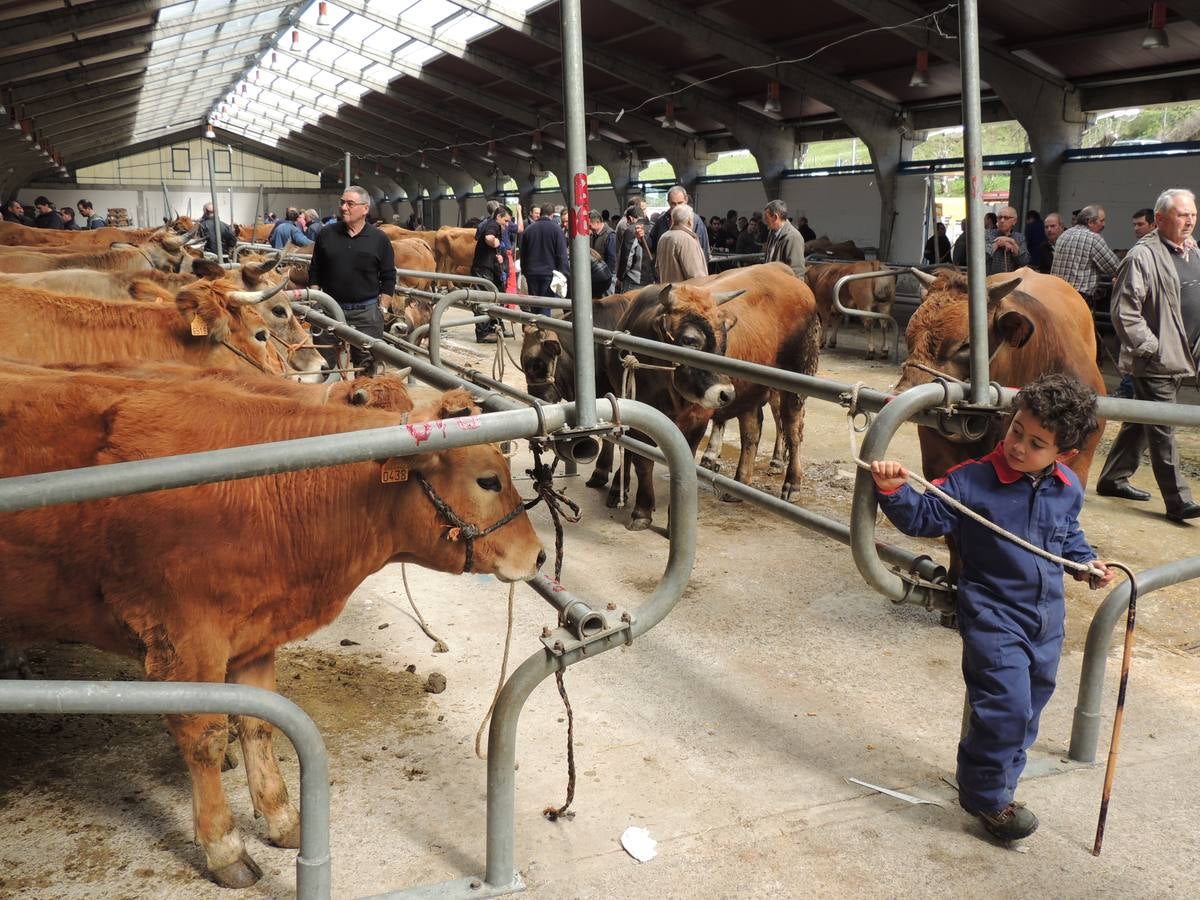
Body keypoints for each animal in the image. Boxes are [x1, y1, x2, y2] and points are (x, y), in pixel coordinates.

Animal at [0, 372, 540, 888]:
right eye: (488, 481)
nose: (537, 556)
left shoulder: (253, 634)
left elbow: (259, 723)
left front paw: (283, 818)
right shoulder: (188, 641)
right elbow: (207, 737)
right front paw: (224, 847)